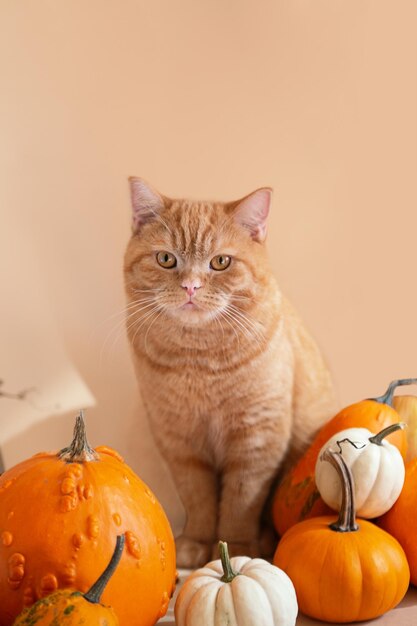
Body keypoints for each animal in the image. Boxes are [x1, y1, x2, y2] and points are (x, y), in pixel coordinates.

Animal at [122, 178, 334, 568]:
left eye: (220, 262)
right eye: (166, 259)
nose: (191, 286)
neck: (199, 360)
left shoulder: (257, 437)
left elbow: (240, 501)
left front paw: (235, 549)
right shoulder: (180, 443)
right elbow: (198, 498)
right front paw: (197, 542)